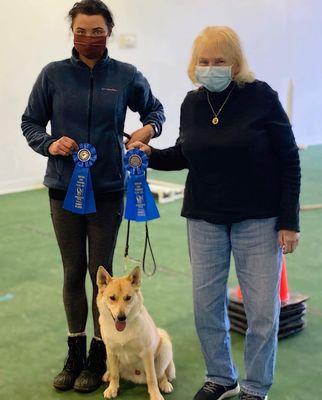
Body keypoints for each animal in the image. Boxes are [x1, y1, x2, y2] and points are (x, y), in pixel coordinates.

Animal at [97, 266, 176, 400]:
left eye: (128, 298)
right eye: (112, 298)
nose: (121, 317)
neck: (123, 330)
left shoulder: (147, 353)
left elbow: (152, 378)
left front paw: (155, 395)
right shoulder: (111, 351)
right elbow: (115, 375)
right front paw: (112, 389)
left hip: (164, 346)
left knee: (160, 374)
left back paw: (165, 384)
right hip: (107, 356)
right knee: (114, 371)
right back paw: (107, 375)